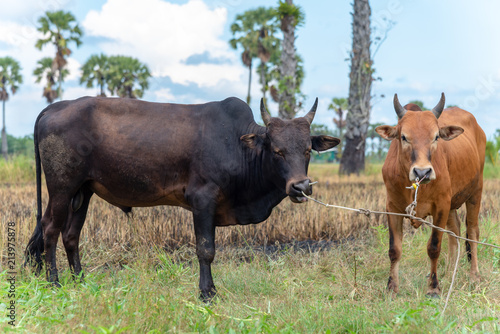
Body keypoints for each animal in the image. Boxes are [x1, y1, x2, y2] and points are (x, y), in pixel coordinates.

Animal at [376, 92, 486, 296]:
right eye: (404, 137)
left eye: (436, 137)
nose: (422, 172)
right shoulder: (392, 208)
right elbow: (394, 249)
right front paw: (391, 287)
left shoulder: (441, 206)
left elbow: (434, 247)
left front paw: (433, 288)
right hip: (452, 203)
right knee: (454, 231)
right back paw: (450, 272)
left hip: (476, 192)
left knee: (472, 232)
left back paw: (474, 276)